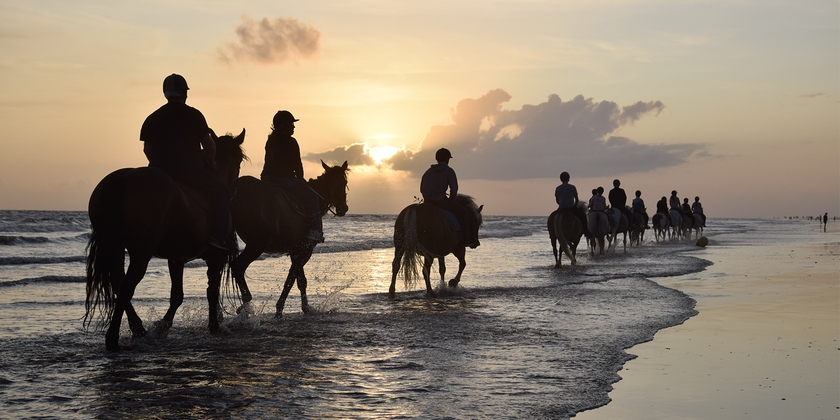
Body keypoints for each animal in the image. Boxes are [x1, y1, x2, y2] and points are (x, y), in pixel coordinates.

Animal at [84, 129, 247, 351]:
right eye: (239, 160)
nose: (234, 192)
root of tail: (124, 179)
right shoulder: (215, 257)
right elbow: (211, 291)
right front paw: (213, 326)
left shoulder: (176, 258)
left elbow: (177, 295)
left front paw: (163, 327)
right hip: (141, 251)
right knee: (126, 287)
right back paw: (114, 337)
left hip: (115, 246)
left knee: (118, 283)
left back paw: (138, 329)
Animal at [230, 161, 349, 318]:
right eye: (344, 182)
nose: (344, 208)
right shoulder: (305, 250)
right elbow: (291, 279)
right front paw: (279, 309)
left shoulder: (295, 250)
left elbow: (301, 280)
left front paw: (305, 307)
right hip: (257, 244)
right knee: (238, 266)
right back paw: (246, 304)